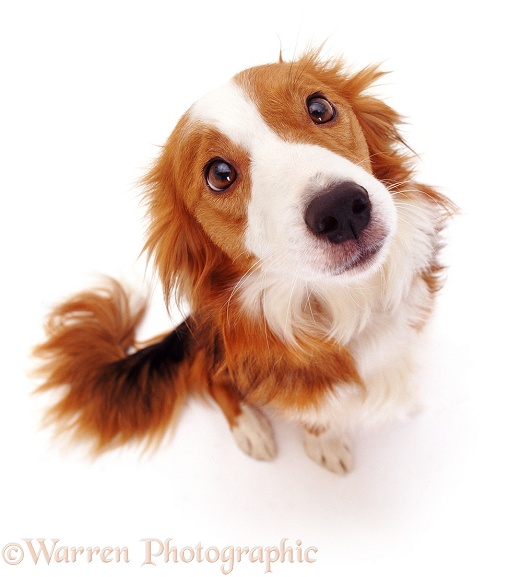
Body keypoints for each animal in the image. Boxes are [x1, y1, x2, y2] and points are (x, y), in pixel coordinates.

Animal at [35, 49, 456, 472]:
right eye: (219, 174)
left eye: (319, 108)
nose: (340, 209)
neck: (349, 302)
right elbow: (312, 411)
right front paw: (325, 439)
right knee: (213, 379)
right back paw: (250, 427)